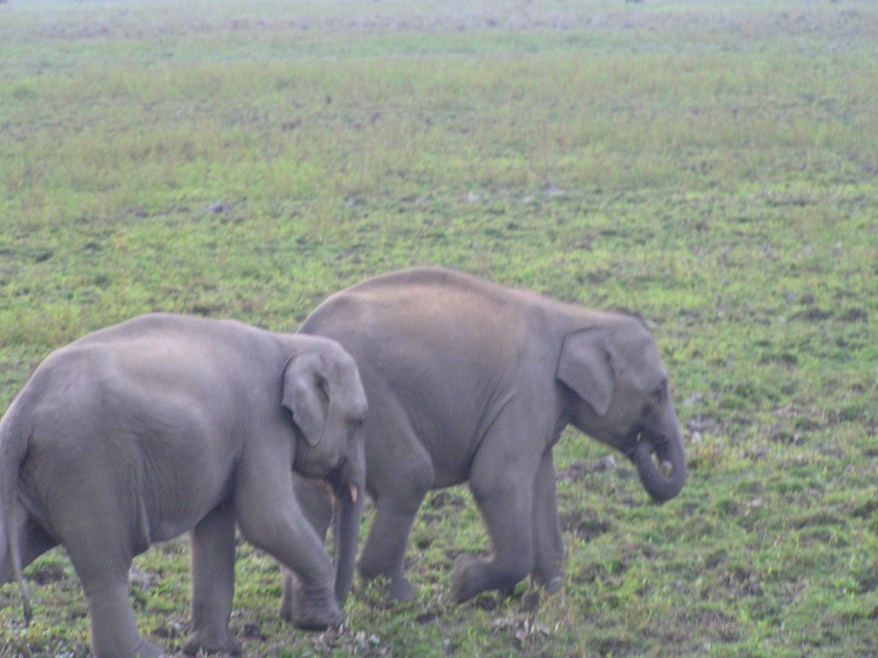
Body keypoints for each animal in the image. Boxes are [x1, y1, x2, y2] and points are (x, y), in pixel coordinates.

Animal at [0, 313, 367, 658]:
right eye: (359, 420)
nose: (340, 620)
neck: (290, 343)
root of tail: (24, 405)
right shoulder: (263, 425)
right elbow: (266, 519)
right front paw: (321, 621)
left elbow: (216, 529)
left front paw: (217, 648)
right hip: (87, 463)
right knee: (107, 563)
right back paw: (144, 653)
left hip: (40, 471)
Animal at [284, 266, 685, 610]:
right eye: (657, 392)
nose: (648, 447)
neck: (579, 318)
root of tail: (305, 329)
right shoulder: (527, 391)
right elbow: (497, 481)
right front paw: (461, 581)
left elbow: (541, 488)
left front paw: (544, 601)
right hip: (369, 403)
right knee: (410, 477)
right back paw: (402, 597)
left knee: (312, 497)